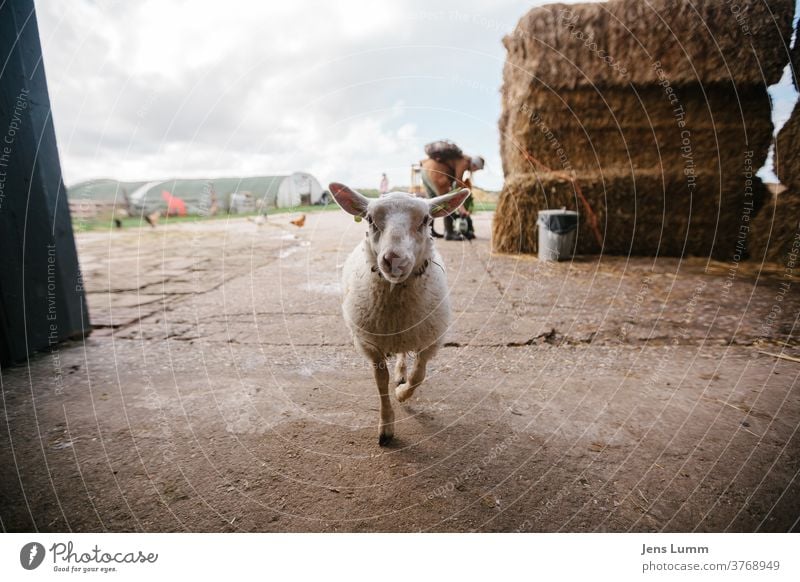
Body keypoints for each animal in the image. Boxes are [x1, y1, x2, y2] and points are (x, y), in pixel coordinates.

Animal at [330, 184, 472, 448]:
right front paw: (386, 426)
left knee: (404, 355)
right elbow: (380, 382)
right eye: (370, 219)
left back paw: (401, 376)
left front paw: (402, 393)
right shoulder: (371, 344)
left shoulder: (430, 341)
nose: (394, 259)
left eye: (426, 220)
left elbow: (418, 375)